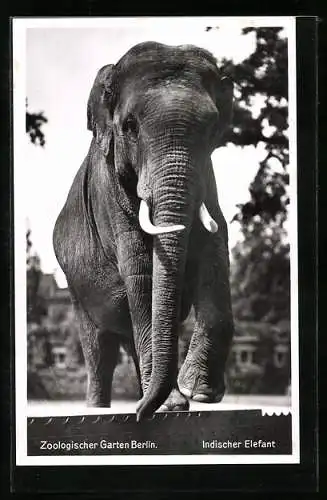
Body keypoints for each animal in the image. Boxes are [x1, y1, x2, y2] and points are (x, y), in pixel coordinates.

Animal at [54, 41, 236, 420]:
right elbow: (140, 268)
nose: (138, 414)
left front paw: (199, 394)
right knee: (99, 352)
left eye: (213, 129)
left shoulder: (206, 176)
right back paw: (107, 407)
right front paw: (173, 403)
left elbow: (215, 245)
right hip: (77, 294)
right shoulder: (109, 190)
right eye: (130, 126)